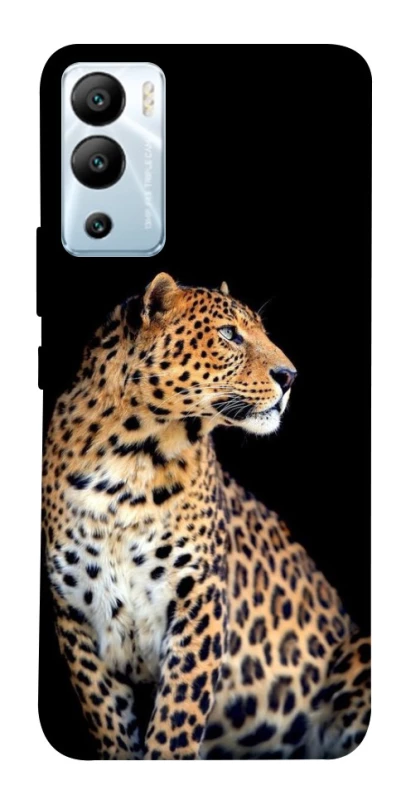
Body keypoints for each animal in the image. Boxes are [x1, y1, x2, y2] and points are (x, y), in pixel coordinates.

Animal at [42, 272, 370, 760]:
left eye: (261, 331)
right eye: (229, 334)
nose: (290, 376)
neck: (129, 461)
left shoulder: (200, 599)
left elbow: (176, 721)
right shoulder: (76, 618)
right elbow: (111, 724)